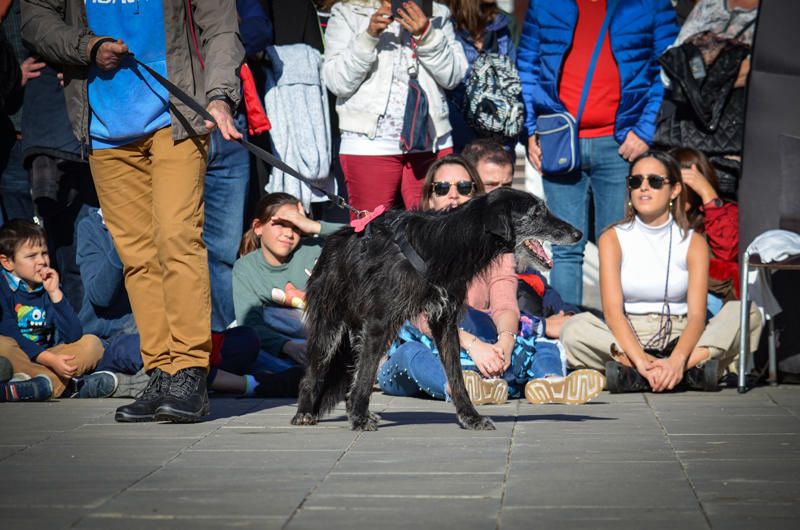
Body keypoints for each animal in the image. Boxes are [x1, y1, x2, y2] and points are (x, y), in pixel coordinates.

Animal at [290, 188, 580, 426]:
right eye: (536, 212)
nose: (578, 234)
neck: (444, 245)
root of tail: (330, 244)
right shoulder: (380, 320)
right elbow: (367, 372)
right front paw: (360, 418)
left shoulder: (444, 321)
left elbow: (456, 374)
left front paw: (470, 417)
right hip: (330, 325)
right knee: (314, 371)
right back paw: (304, 412)